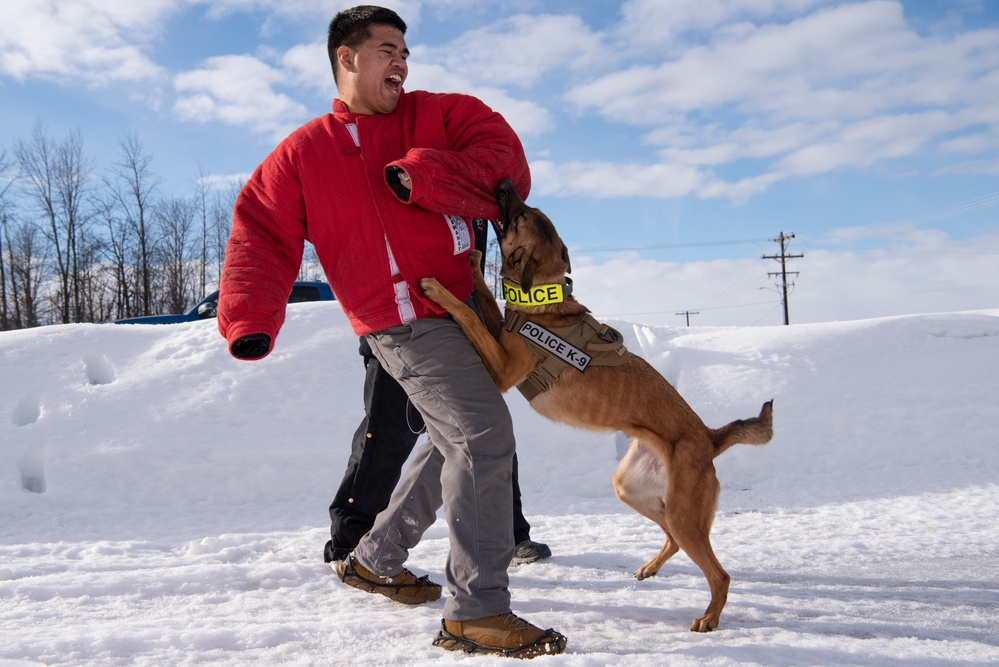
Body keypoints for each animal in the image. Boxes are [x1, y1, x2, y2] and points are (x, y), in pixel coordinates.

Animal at [420, 180, 772, 636]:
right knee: (673, 540)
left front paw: (441, 291)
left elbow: (470, 314)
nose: (507, 185)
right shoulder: (501, 334)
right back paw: (651, 568)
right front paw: (476, 265)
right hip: (634, 491)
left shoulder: (501, 370)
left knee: (719, 573)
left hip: (685, 514)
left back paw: (709, 617)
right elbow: (484, 300)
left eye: (520, 215)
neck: (542, 300)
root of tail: (709, 437)